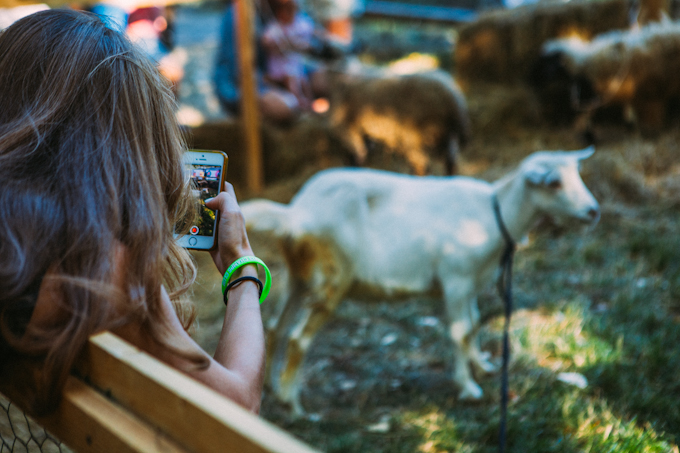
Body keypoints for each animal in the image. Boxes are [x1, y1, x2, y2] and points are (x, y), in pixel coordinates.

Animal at [244, 147, 600, 414]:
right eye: (554, 182)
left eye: (578, 174)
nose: (593, 211)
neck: (495, 215)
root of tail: (296, 213)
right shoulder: (456, 280)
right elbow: (459, 332)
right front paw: (468, 387)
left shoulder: (470, 282)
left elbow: (473, 323)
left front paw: (483, 365)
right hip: (332, 279)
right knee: (297, 338)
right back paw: (293, 404)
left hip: (298, 276)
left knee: (276, 328)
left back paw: (271, 388)